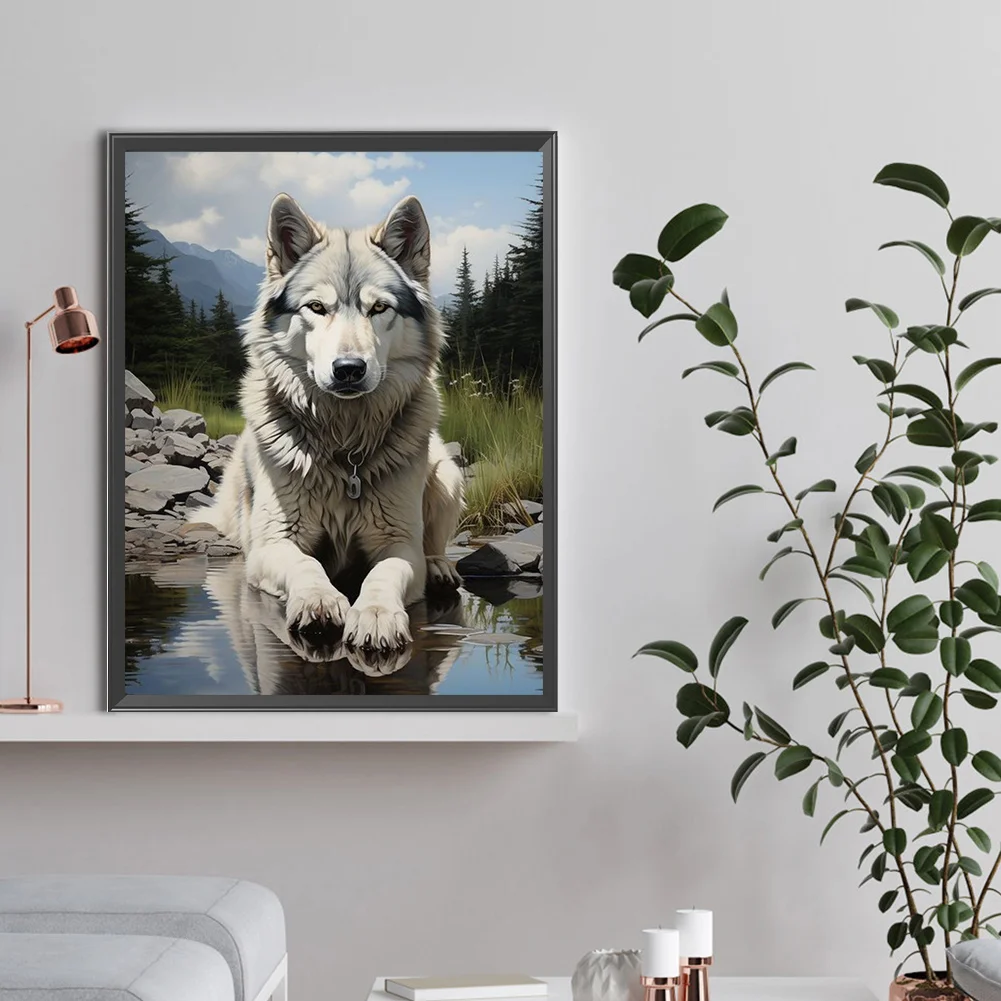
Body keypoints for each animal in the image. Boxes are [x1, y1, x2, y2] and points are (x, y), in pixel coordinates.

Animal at [201, 192, 464, 653]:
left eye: (379, 308)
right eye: (316, 308)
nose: (348, 370)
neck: (344, 446)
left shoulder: (398, 543)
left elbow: (384, 573)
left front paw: (376, 615)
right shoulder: (274, 543)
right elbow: (305, 564)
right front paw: (319, 600)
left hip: (446, 473)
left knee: (433, 541)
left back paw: (439, 567)